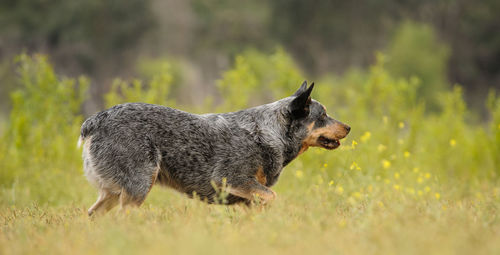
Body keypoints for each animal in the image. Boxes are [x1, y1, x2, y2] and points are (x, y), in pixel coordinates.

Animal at [79, 81, 352, 215]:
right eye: (323, 116)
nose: (349, 127)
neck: (268, 133)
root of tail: (95, 120)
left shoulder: (247, 198)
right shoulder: (233, 180)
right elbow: (272, 197)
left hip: (115, 193)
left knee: (92, 214)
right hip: (138, 187)